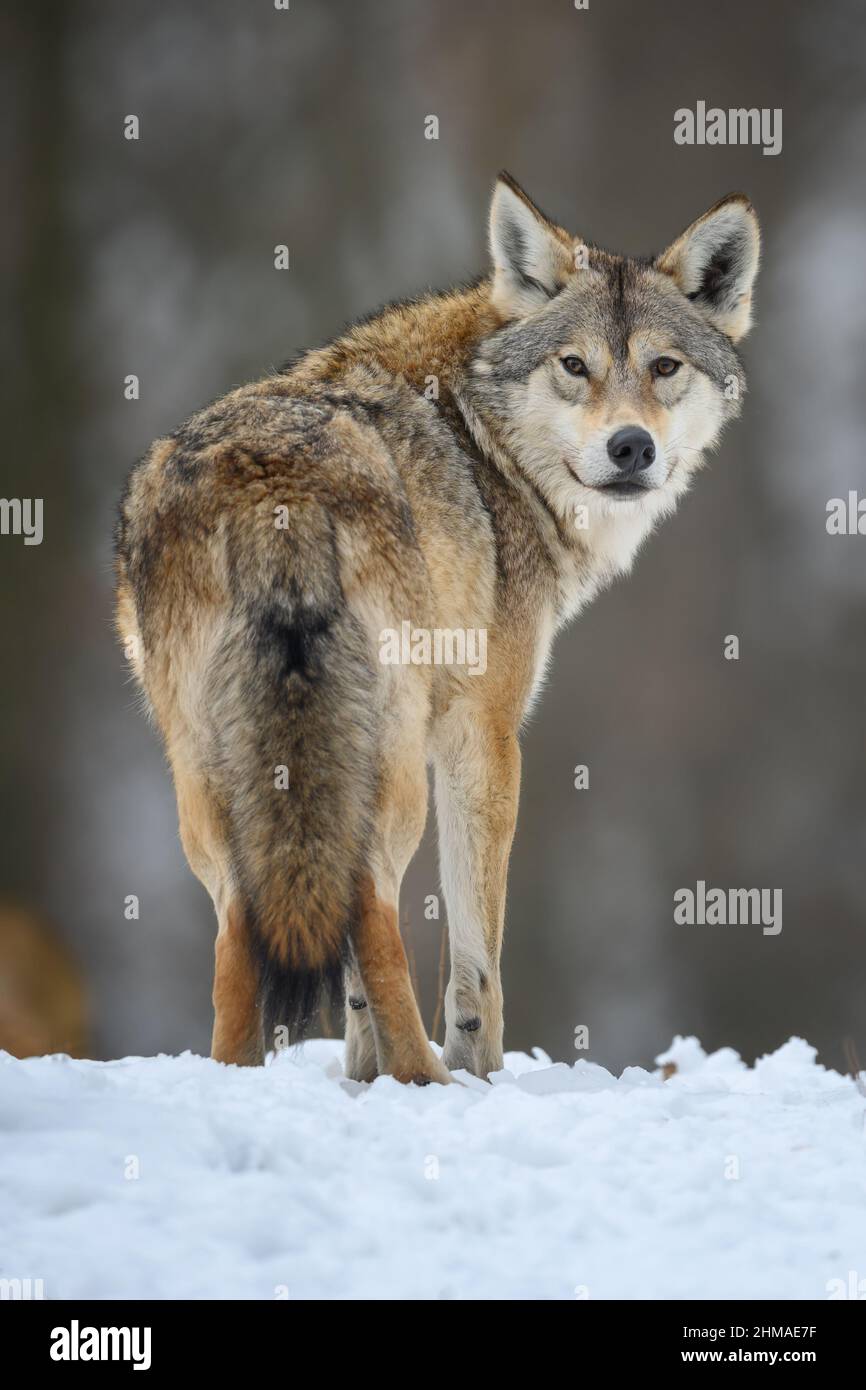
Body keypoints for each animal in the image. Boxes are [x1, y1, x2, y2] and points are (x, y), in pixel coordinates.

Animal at [116, 174, 760, 1084]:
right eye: (575, 367)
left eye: (663, 367)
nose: (631, 447)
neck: (486, 441)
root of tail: (273, 487)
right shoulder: (483, 731)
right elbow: (477, 954)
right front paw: (476, 1072)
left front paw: (362, 1079)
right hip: (386, 768)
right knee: (371, 905)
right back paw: (428, 1076)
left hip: (213, 776)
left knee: (246, 921)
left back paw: (244, 1076)